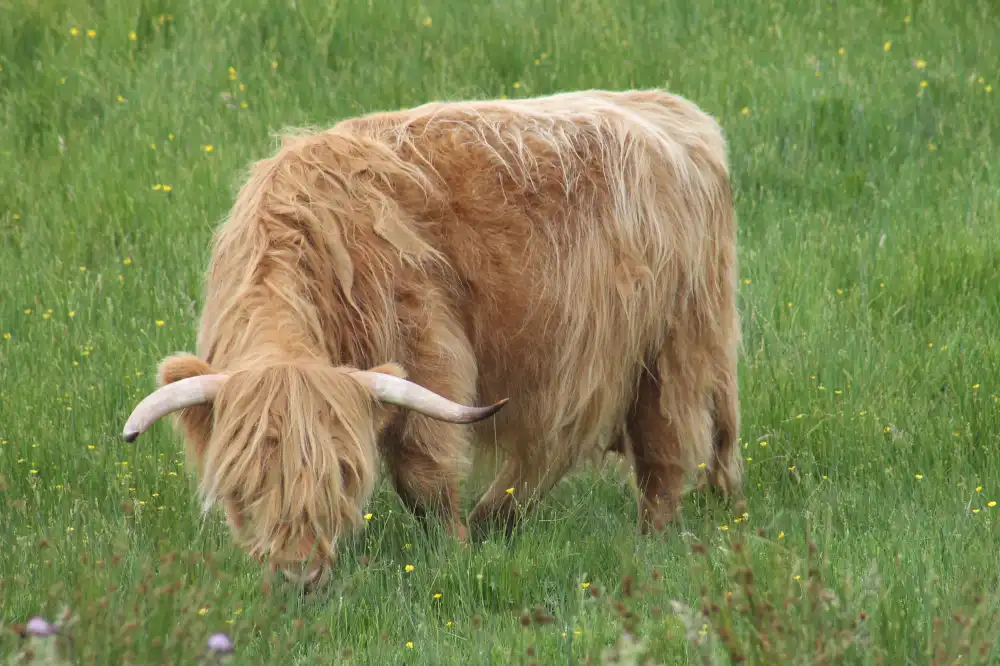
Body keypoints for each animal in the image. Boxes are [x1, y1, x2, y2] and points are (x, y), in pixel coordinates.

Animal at [123, 89, 744, 588]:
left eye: (342, 475)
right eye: (242, 484)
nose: (299, 575)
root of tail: (678, 112)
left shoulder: (425, 344)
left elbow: (424, 472)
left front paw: (455, 551)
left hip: (677, 338)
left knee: (666, 446)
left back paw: (648, 542)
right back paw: (498, 520)